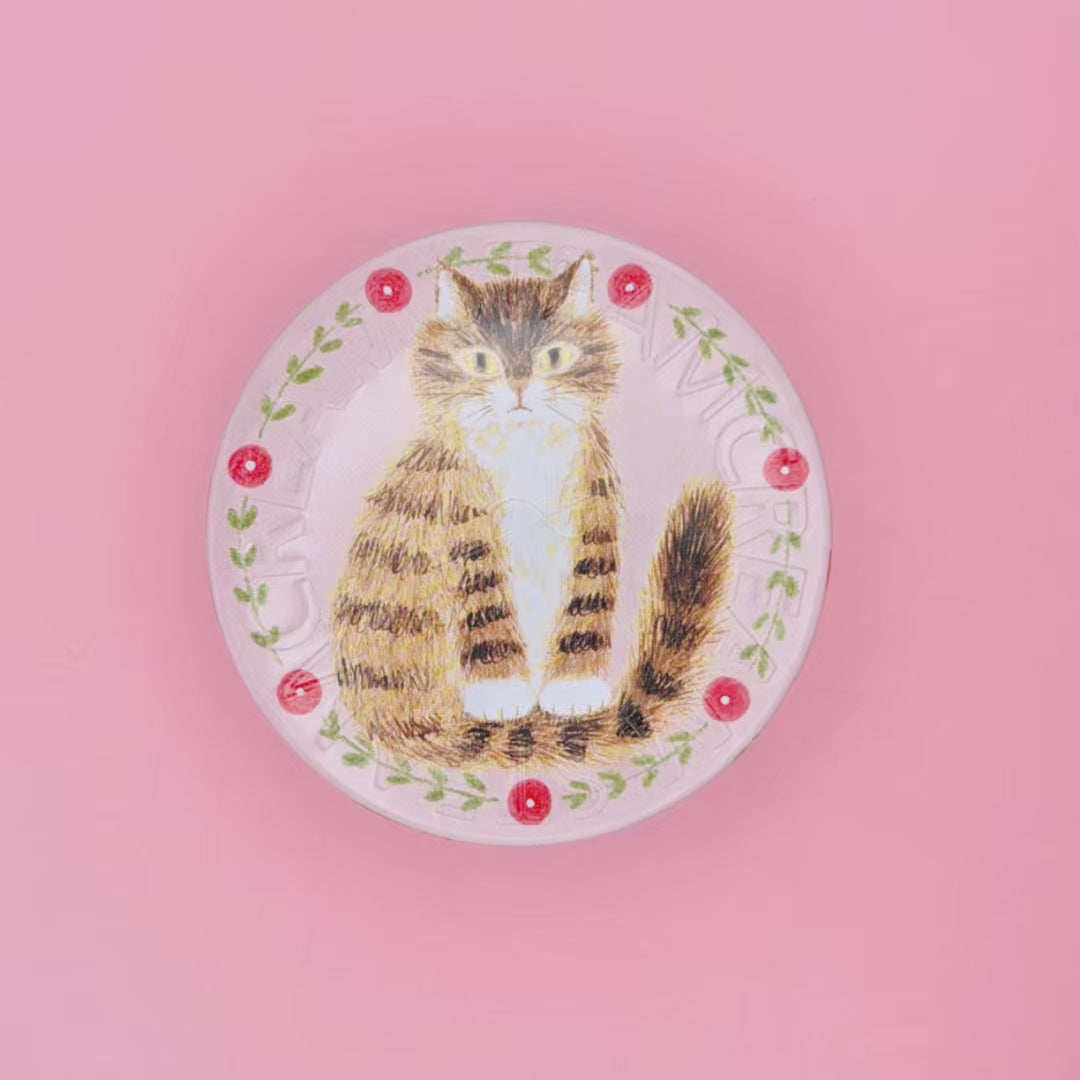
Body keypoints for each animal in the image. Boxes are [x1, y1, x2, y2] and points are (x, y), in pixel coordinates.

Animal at [331, 255, 734, 767]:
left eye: (554, 356)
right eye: (481, 360)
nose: (520, 385)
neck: (527, 452)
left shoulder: (595, 513)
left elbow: (587, 601)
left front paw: (575, 690)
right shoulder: (466, 522)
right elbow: (487, 609)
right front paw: (500, 695)